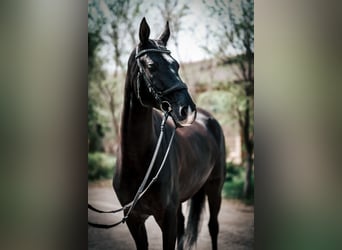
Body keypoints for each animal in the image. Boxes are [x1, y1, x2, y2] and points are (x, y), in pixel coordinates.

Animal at [113, 18, 227, 250]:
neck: (138, 161)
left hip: (215, 187)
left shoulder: (166, 218)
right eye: (151, 66)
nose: (188, 110)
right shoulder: (134, 220)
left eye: (176, 65)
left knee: (213, 226)